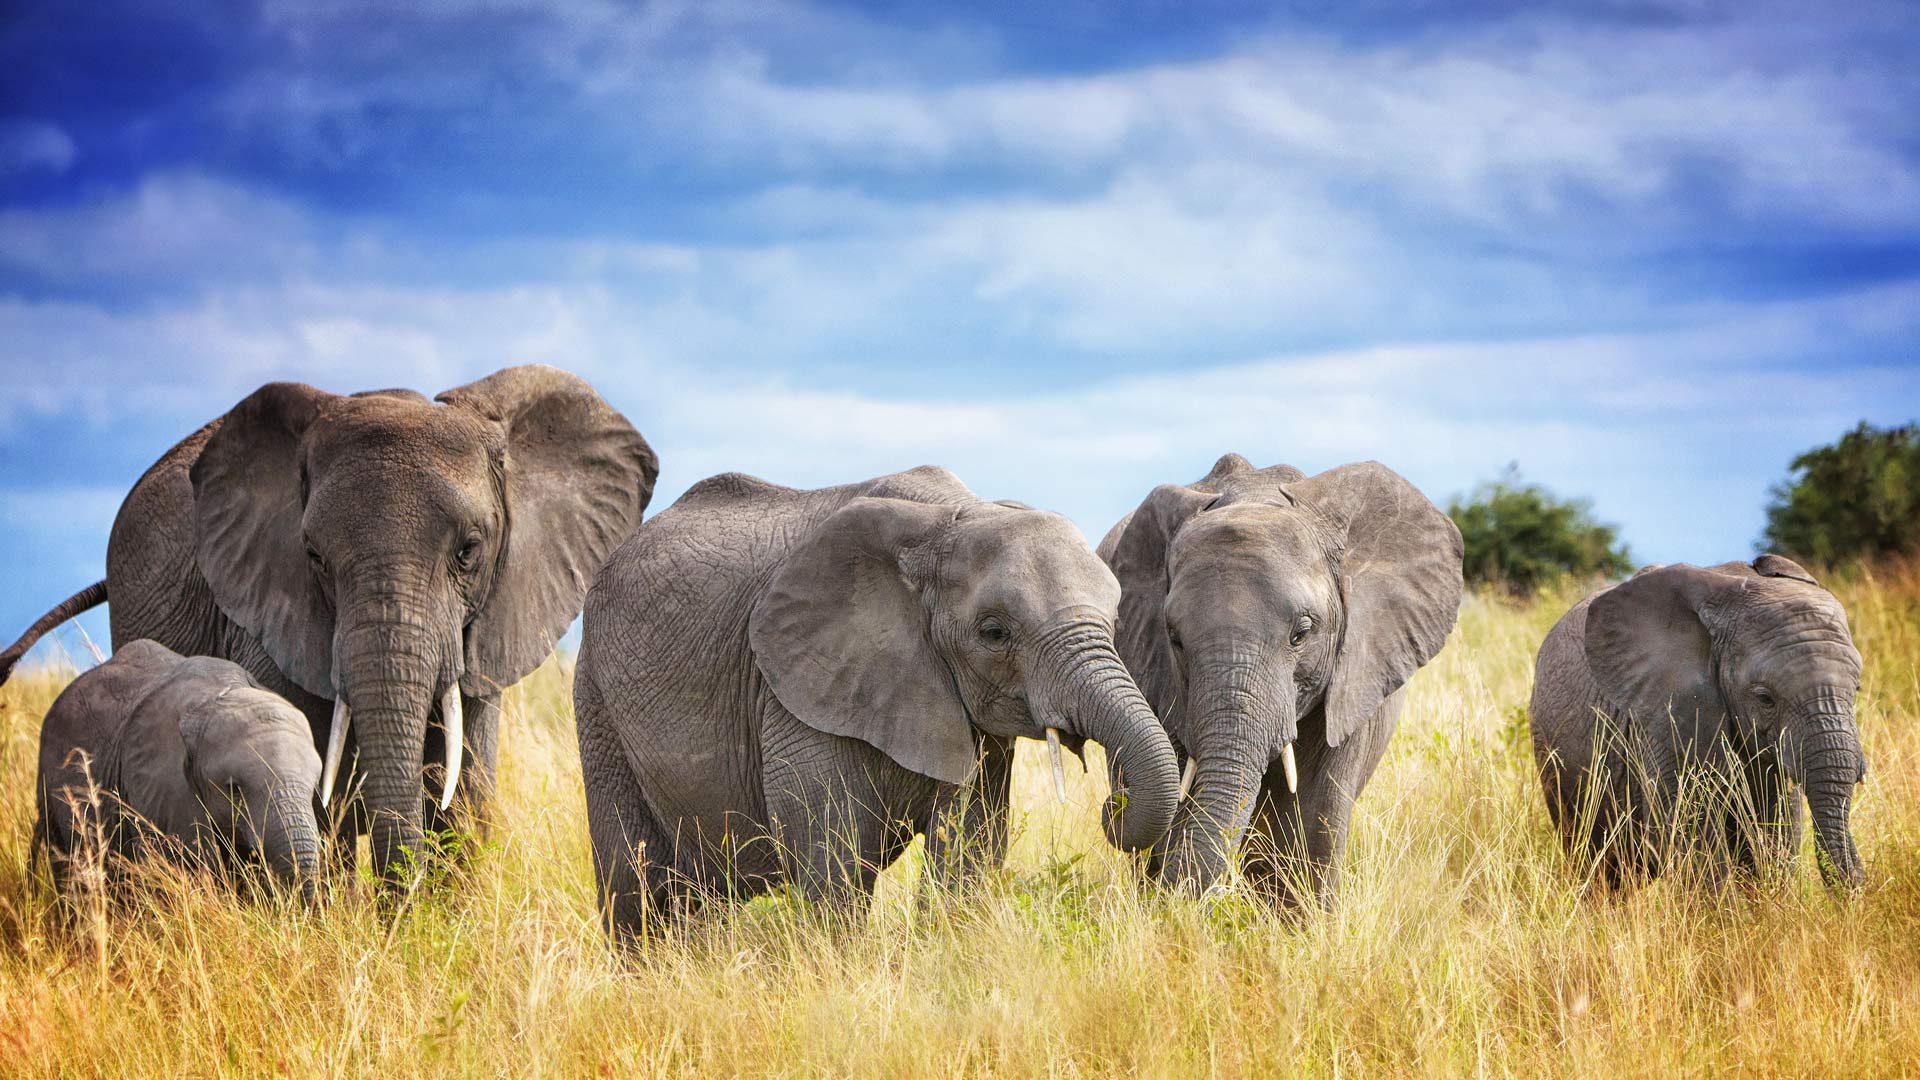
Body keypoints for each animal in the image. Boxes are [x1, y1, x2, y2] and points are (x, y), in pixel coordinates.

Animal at [573, 465, 1181, 935]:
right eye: (993, 632)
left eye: (1117, 619)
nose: (1113, 803)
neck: (951, 518)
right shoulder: (797, 689)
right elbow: (832, 848)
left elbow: (971, 839)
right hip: (595, 698)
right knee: (635, 885)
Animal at [1529, 557, 1867, 890]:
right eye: (1765, 698)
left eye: (1857, 689)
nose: (1857, 886)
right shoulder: (1666, 712)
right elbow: (1691, 829)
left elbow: (1774, 827)